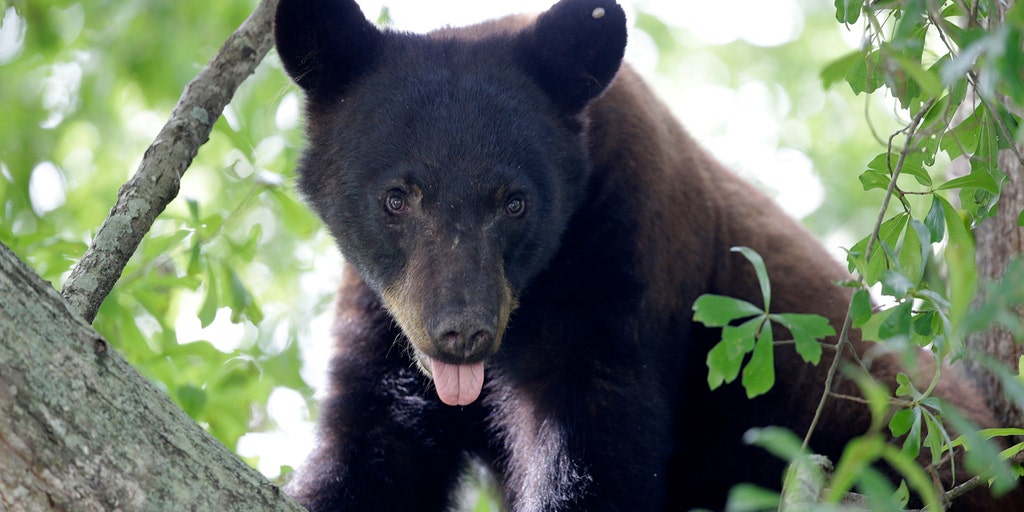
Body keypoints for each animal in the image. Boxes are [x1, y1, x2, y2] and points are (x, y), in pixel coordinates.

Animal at [273, 0, 1023, 510]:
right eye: (397, 197)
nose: (462, 332)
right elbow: (372, 443)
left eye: (515, 202)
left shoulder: (624, 264)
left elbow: (595, 445)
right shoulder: (383, 316)